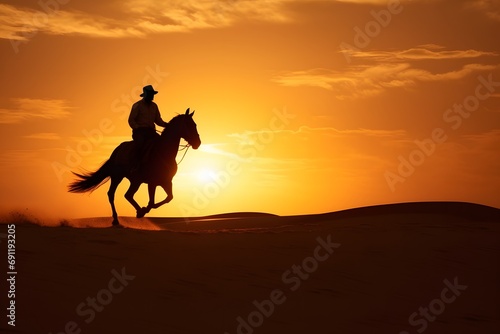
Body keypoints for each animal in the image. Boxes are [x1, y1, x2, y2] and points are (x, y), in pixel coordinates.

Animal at [68, 108, 201, 226]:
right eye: (189, 125)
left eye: (195, 124)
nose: (198, 143)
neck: (163, 152)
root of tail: (116, 151)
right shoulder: (152, 183)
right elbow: (152, 201)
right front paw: (144, 209)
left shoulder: (166, 182)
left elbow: (169, 198)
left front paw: (144, 209)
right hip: (118, 177)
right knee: (113, 194)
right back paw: (117, 219)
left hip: (136, 181)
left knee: (128, 195)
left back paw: (135, 212)